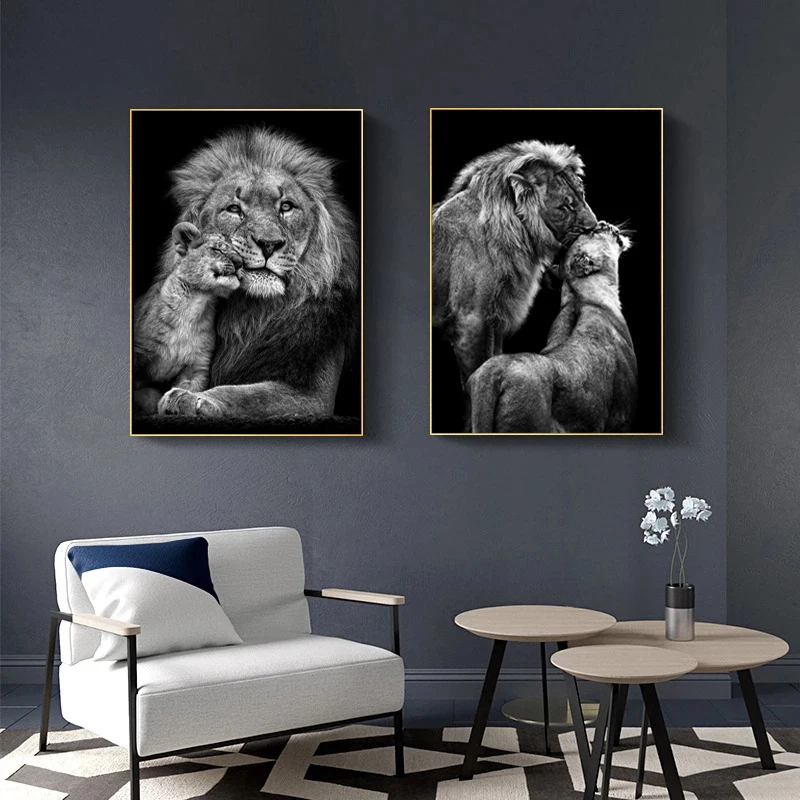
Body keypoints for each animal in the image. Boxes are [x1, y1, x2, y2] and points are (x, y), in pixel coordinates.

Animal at [132, 223, 243, 416]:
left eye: (239, 253)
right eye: (217, 249)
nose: (240, 262)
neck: (195, 306)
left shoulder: (196, 367)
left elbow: (189, 389)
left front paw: (180, 403)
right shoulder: (138, 352)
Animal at [432, 140, 598, 388]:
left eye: (582, 194)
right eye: (564, 207)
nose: (593, 226)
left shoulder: (495, 319)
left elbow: (493, 359)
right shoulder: (471, 319)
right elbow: (475, 373)